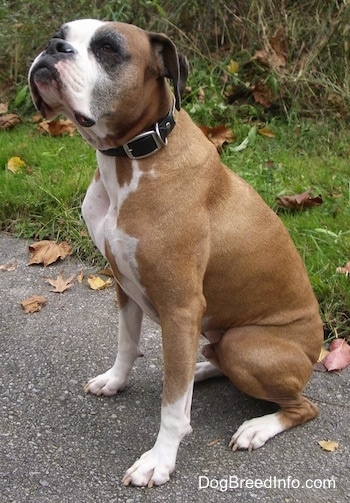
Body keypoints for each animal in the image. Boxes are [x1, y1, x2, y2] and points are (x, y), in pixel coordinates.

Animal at [28, 19, 324, 488]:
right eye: (61, 34)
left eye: (107, 48)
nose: (53, 47)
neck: (132, 158)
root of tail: (316, 351)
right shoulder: (123, 285)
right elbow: (127, 343)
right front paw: (115, 381)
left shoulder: (181, 307)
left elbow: (170, 407)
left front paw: (159, 459)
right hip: (215, 336)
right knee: (202, 363)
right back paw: (201, 370)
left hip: (246, 343)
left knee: (302, 405)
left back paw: (256, 427)